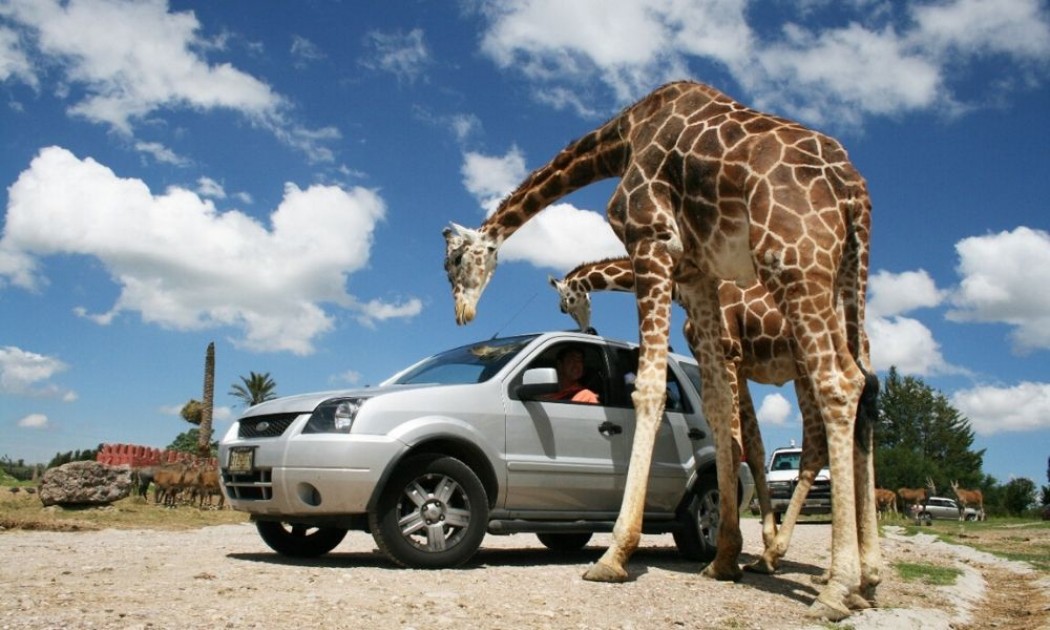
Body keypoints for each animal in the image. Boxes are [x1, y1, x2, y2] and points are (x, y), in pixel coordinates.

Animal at [550, 258, 844, 575]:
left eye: (566, 303)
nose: (587, 329)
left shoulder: (728, 351)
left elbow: (733, 443)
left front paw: (728, 551)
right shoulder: (741, 364)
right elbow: (754, 449)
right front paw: (762, 549)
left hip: (808, 368)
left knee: (822, 441)